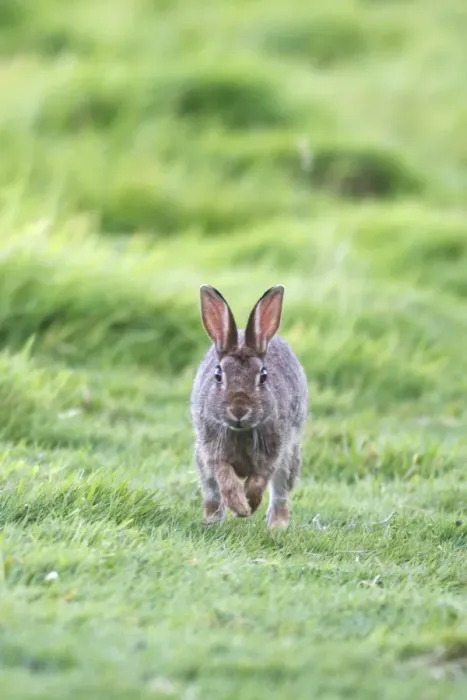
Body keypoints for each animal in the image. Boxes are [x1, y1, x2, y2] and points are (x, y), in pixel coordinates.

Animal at [191, 284, 308, 528]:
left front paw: (247, 506)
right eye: (218, 375)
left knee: (280, 494)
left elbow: (258, 480)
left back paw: (277, 527)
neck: (241, 431)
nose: (239, 411)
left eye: (263, 376)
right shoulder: (212, 451)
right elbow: (225, 477)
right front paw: (239, 506)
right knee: (212, 496)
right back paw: (212, 522)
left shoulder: (273, 452)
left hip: (290, 458)